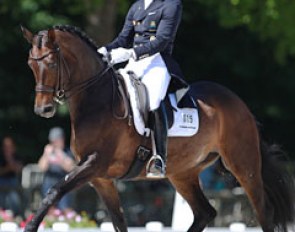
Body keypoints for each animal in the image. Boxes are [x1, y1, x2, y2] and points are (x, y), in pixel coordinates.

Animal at [20, 25, 294, 232]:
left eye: (52, 63)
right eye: (30, 65)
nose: (43, 109)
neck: (96, 100)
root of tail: (239, 103)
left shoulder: (94, 164)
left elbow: (54, 191)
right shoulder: (100, 178)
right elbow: (119, 221)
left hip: (243, 164)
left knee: (263, 210)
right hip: (183, 172)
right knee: (205, 212)